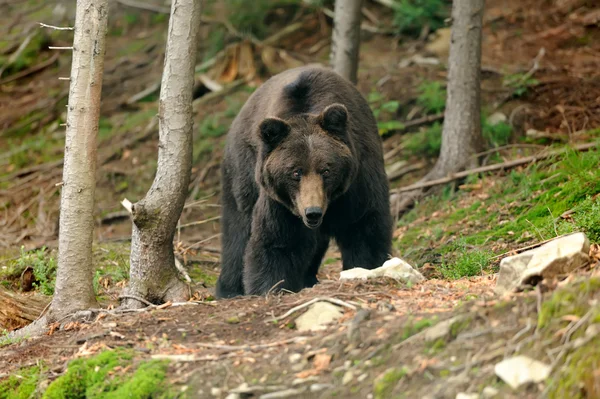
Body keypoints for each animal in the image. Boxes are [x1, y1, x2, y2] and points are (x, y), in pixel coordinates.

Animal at [216, 65, 394, 298]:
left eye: (326, 170)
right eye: (295, 172)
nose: (312, 212)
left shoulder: (357, 185)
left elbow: (364, 229)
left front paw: (366, 269)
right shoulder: (282, 202)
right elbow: (277, 243)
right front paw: (270, 287)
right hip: (243, 168)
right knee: (238, 227)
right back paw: (229, 289)